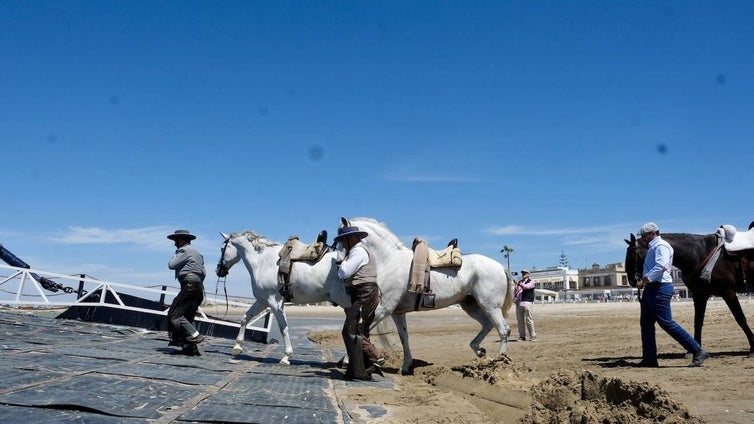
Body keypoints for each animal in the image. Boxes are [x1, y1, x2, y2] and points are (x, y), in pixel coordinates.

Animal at [214, 230, 350, 366]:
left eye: (222, 249)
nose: (218, 270)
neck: (263, 261)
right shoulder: (262, 301)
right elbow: (245, 318)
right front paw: (237, 347)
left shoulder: (274, 302)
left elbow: (283, 328)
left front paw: (286, 356)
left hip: (345, 301)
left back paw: (346, 359)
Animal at [342, 219, 516, 374]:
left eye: (341, 240)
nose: (340, 263)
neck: (391, 260)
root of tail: (500, 266)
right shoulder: (397, 313)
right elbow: (404, 337)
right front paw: (406, 366)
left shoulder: (383, 310)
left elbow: (361, 331)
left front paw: (346, 359)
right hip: (471, 305)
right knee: (488, 325)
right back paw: (480, 350)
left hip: (490, 307)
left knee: (503, 330)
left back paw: (500, 361)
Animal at [624, 230, 752, 356]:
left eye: (632, 254)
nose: (631, 280)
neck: (700, 253)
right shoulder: (700, 295)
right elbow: (698, 322)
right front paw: (695, 350)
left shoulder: (728, 293)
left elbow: (740, 318)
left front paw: (752, 347)